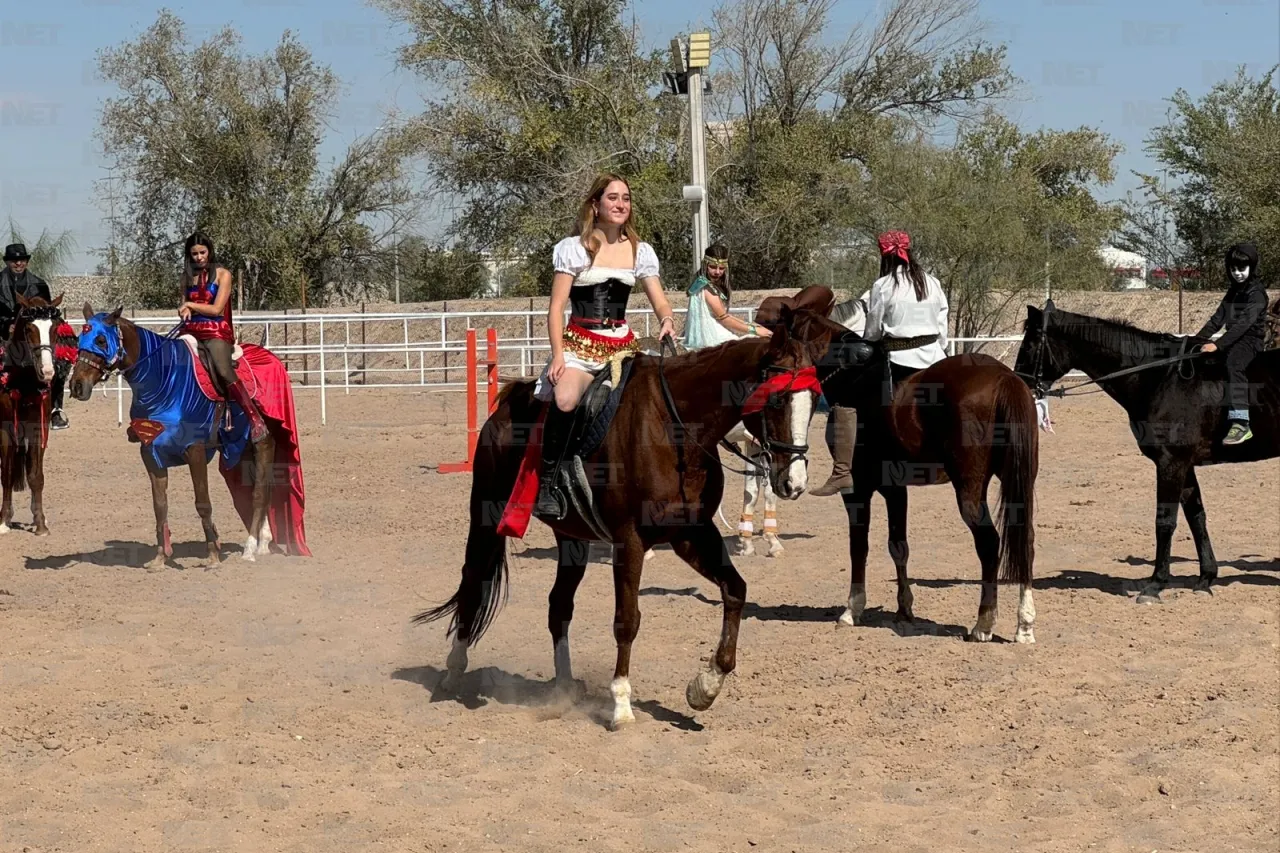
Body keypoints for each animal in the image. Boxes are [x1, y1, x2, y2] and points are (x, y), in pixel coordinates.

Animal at [70, 302, 309, 568]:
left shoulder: (194, 450)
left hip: (264, 443)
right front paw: (160, 558)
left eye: (101, 340)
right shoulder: (150, 453)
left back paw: (250, 549)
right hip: (244, 449)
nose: (77, 386)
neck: (165, 382)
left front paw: (213, 556)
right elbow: (160, 506)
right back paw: (263, 543)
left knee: (259, 492)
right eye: (80, 338)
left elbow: (202, 503)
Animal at [412, 308, 849, 727]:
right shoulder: (629, 540)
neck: (675, 430)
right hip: (486, 518)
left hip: (573, 539)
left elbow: (736, 590)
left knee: (559, 606)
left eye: (813, 400)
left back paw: (564, 686)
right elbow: (627, 619)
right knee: (474, 582)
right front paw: (621, 704)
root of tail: (508, 403)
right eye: (776, 401)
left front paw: (705, 686)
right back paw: (453, 671)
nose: (794, 481)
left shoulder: (692, 534)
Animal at [757, 289, 1039, 640]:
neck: (851, 374)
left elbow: (859, 546)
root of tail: (1004, 378)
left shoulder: (858, 490)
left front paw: (852, 609)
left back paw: (983, 624)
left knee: (989, 543)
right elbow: (898, 546)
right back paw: (1024, 624)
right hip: (1019, 481)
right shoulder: (894, 488)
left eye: (775, 364)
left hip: (970, 490)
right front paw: (904, 609)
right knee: (1026, 541)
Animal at [1013, 302, 1274, 601]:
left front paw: (1155, 584)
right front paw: (1205, 578)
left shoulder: (1171, 463)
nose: (1019, 383)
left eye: (1030, 344)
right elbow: (1196, 517)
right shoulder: (1184, 466)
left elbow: (1165, 521)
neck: (1159, 378)